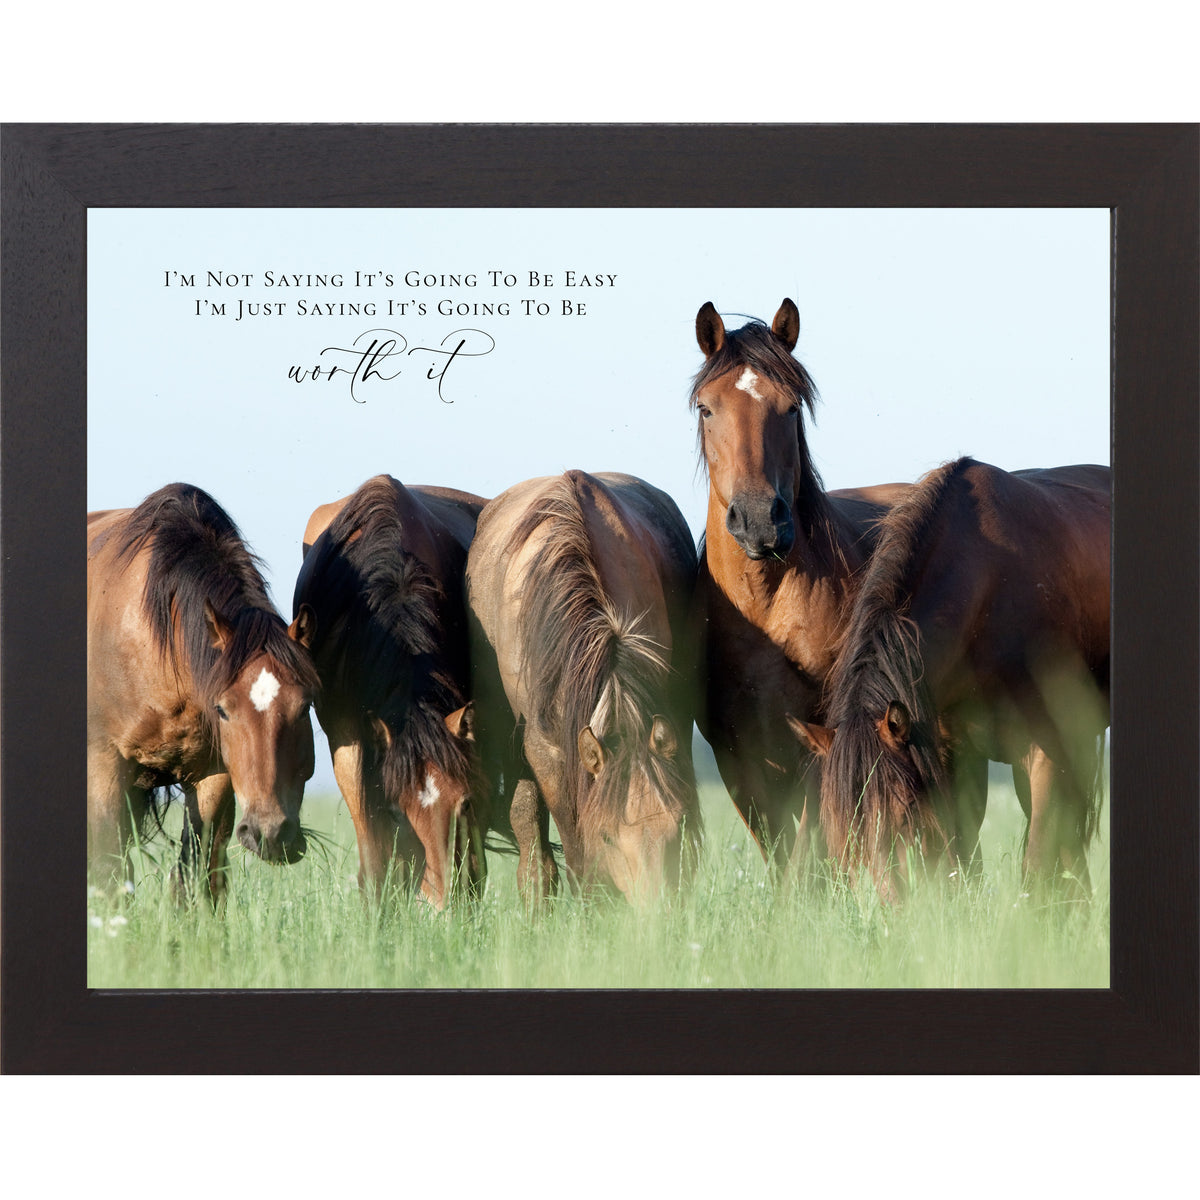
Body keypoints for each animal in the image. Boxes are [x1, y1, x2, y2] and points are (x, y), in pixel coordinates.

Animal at [87, 483, 319, 900]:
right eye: (223, 710)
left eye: (305, 705)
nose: (270, 833)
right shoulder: (104, 764)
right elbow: (107, 873)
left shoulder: (213, 776)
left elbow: (197, 874)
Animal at [691, 299, 910, 877]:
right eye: (706, 409)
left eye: (791, 408)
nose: (759, 521)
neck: (766, 608)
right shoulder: (738, 757)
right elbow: (781, 850)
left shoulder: (819, 739)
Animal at [791, 457, 1111, 901]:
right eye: (840, 825)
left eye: (905, 809)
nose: (886, 906)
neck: (988, 590)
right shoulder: (951, 755)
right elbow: (963, 860)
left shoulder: (1046, 752)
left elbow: (1037, 862)